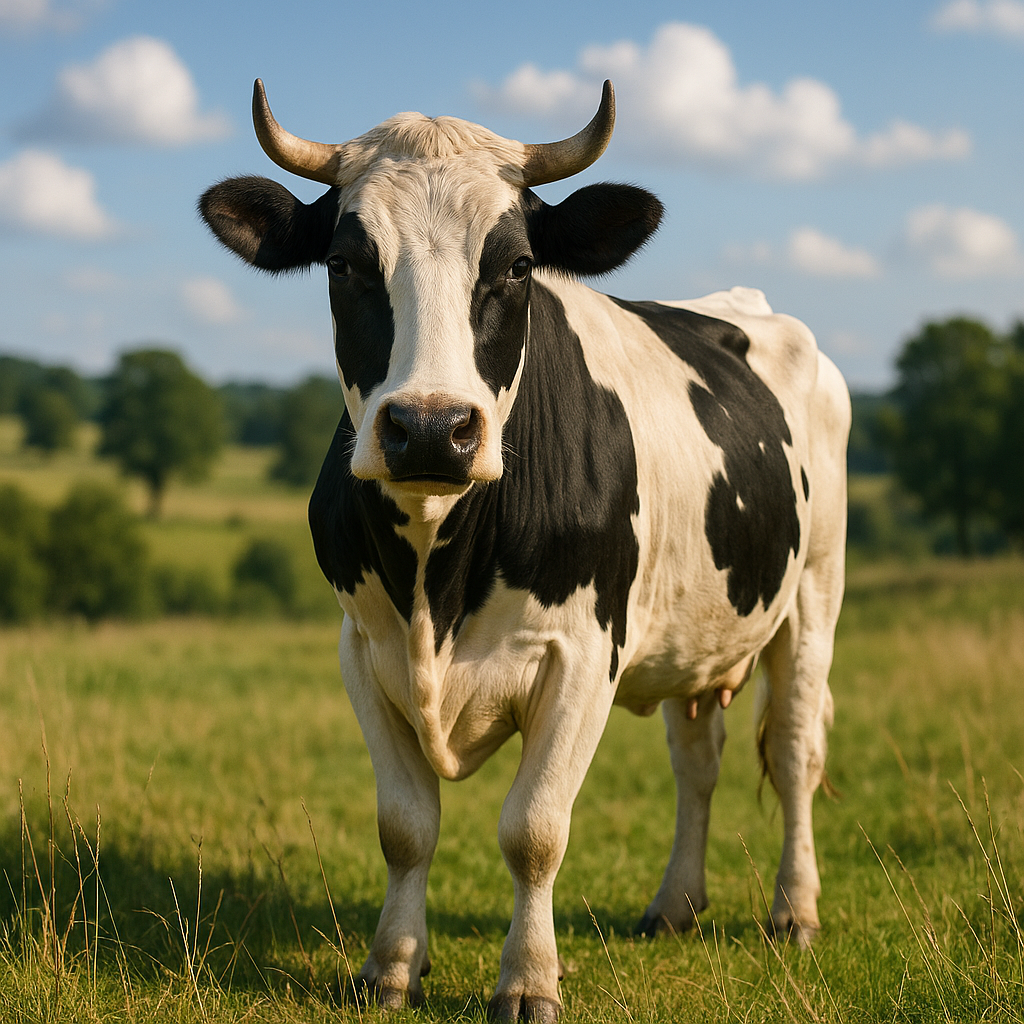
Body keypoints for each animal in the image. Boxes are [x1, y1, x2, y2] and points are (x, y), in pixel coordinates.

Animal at [199, 79, 849, 1022]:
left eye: (514, 267)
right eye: (346, 264)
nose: (431, 426)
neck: (437, 576)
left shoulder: (582, 652)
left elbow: (534, 829)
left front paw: (529, 980)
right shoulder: (363, 647)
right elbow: (406, 826)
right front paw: (390, 966)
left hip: (814, 598)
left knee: (796, 750)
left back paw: (793, 913)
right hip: (695, 633)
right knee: (698, 761)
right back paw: (674, 906)